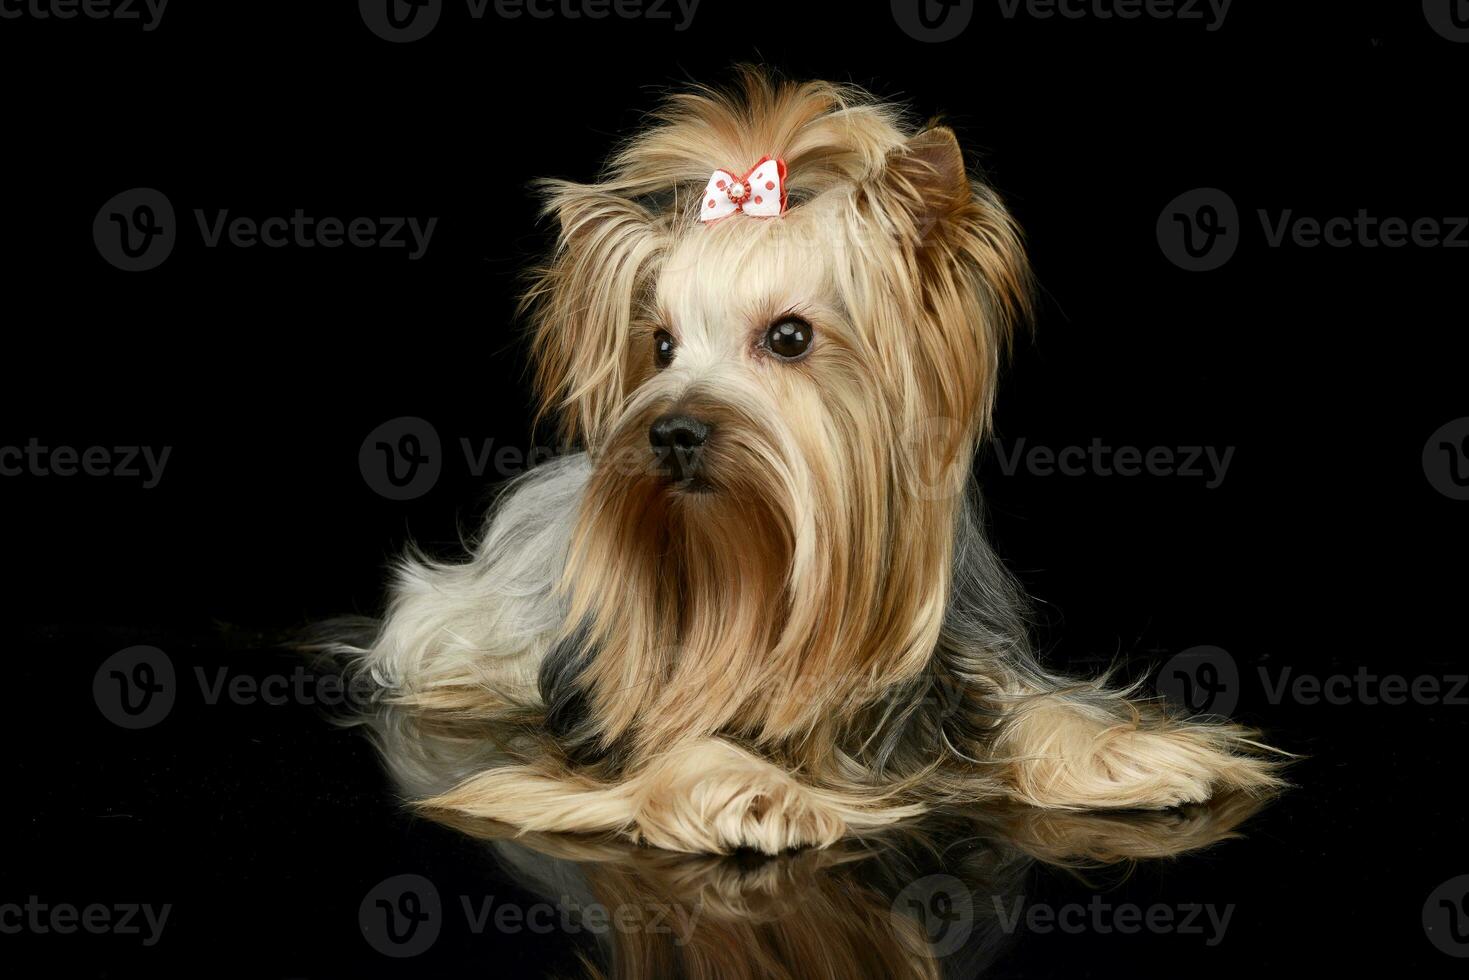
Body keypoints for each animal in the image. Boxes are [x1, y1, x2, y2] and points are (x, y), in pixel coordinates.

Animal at [336, 69, 1286, 852]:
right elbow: (682, 740)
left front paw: (1131, 757)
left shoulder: (965, 664)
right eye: (660, 345)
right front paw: (747, 794)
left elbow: (1038, 706)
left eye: (789, 337)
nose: (670, 430)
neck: (754, 570)